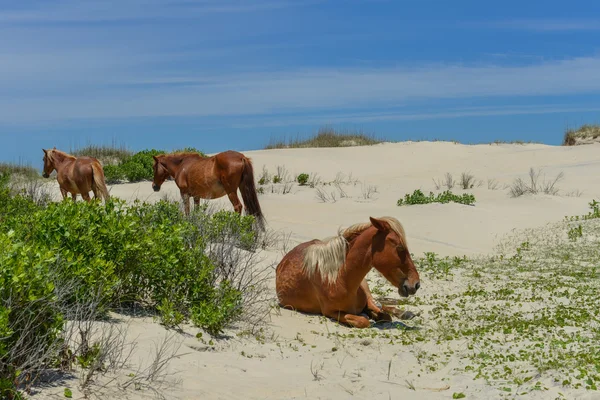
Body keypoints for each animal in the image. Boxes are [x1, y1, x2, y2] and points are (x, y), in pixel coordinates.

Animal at [276, 217, 420, 326]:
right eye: (400, 247)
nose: (416, 284)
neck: (339, 279)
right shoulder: (331, 312)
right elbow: (363, 321)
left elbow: (383, 314)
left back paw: (404, 313)